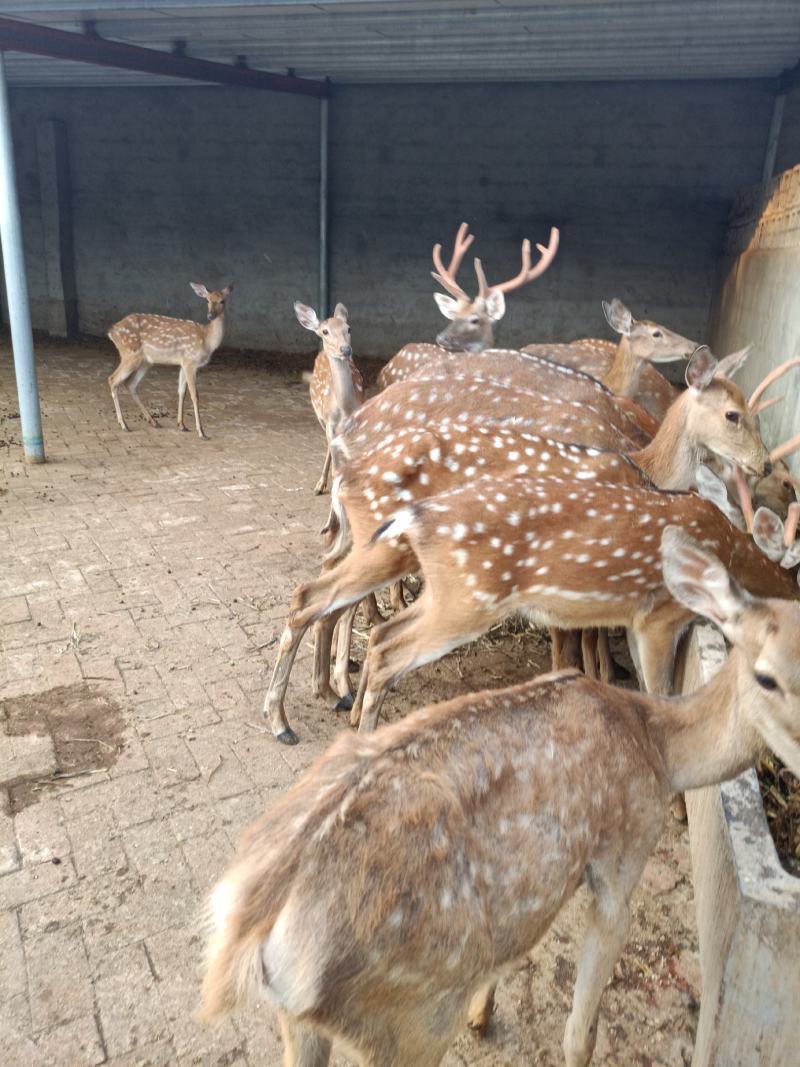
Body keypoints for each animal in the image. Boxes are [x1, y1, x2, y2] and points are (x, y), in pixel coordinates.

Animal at [107, 282, 232, 439]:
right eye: (207, 300)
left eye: (222, 301)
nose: (210, 315)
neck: (207, 341)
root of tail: (111, 332)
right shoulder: (190, 361)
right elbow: (194, 395)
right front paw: (201, 432)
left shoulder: (183, 363)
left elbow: (181, 392)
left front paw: (182, 425)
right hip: (130, 354)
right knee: (113, 379)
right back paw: (124, 425)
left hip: (146, 361)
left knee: (130, 384)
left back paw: (153, 421)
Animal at [201, 529, 800, 1067]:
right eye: (767, 677)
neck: (659, 746)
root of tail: (252, 937)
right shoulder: (622, 858)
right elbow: (580, 1036)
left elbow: (511, 953)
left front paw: (484, 1014)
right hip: (410, 1019)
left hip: (303, 1024)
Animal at [295, 301, 365, 495]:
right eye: (325, 331)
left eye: (349, 328)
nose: (345, 349)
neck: (344, 408)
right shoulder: (329, 423)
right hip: (320, 417)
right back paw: (320, 485)